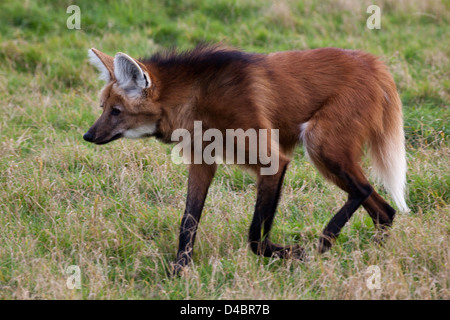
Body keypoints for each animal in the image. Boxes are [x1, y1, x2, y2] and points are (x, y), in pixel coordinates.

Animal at [83, 44, 408, 276]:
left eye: (116, 111)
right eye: (102, 108)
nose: (87, 135)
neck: (195, 99)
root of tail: (375, 63)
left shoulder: (273, 161)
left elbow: (255, 236)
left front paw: (292, 252)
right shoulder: (202, 162)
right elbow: (188, 221)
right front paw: (178, 273)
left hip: (319, 145)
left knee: (364, 190)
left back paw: (323, 241)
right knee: (385, 211)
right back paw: (374, 255)